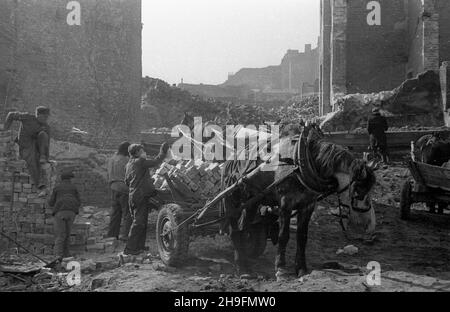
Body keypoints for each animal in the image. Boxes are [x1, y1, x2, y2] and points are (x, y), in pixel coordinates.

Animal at [221, 128, 376, 280]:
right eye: (358, 192)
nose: (369, 226)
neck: (300, 164)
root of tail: (232, 159)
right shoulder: (285, 204)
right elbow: (283, 236)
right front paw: (281, 269)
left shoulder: (308, 205)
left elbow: (302, 237)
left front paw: (301, 269)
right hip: (236, 201)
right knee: (235, 230)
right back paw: (242, 267)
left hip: (252, 202)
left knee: (243, 228)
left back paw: (244, 263)